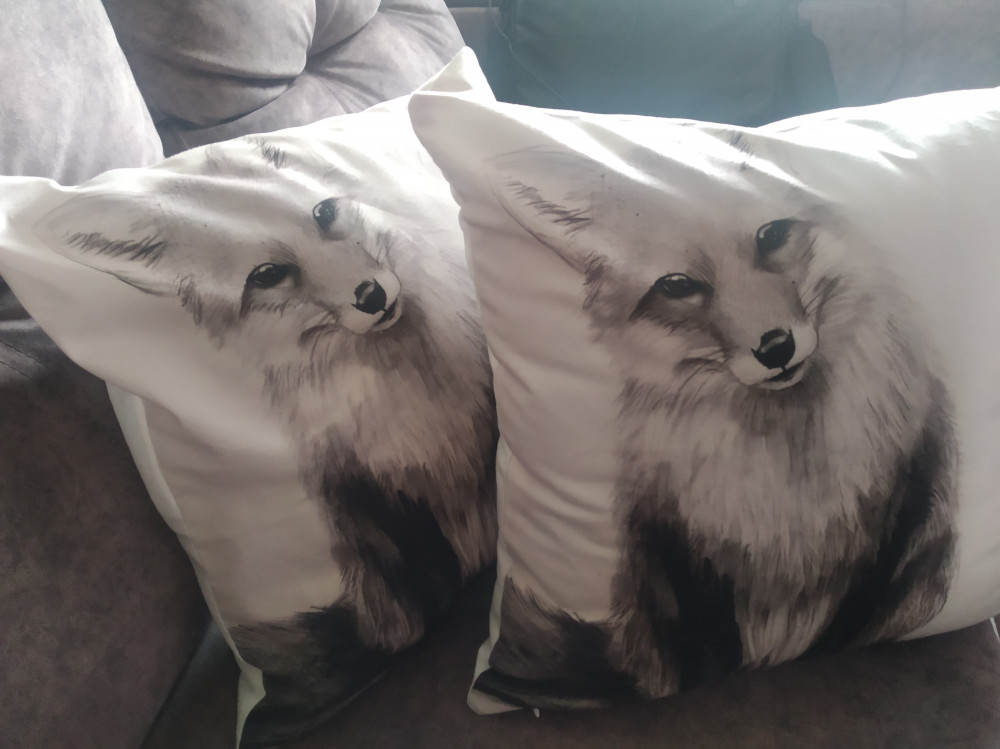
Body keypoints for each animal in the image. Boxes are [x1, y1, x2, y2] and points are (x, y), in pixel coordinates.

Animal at [35, 135, 498, 735]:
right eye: (269, 275)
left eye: (323, 213)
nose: (372, 296)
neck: (417, 395)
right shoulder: (367, 495)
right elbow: (422, 575)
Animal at [473, 136, 957, 708]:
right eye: (679, 285)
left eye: (771, 236)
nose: (776, 348)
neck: (786, 485)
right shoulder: (683, 559)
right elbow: (707, 654)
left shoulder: (891, 527)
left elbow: (849, 621)